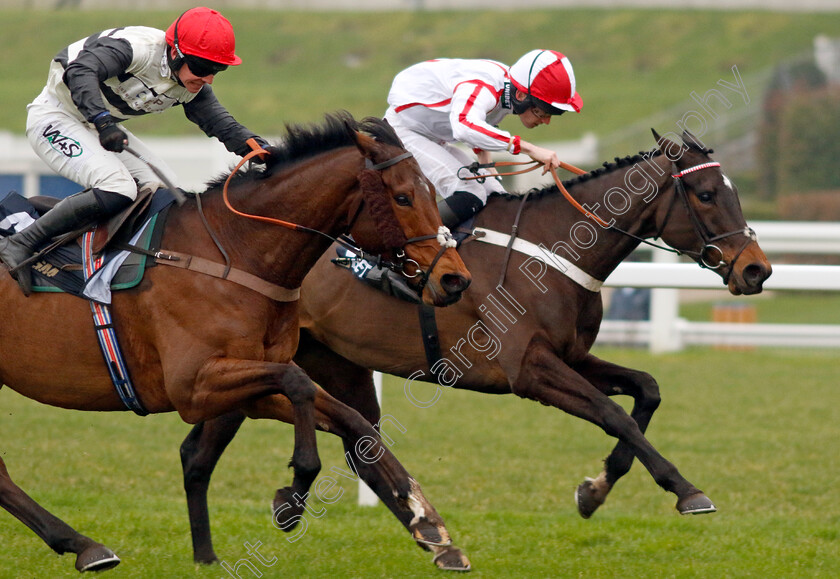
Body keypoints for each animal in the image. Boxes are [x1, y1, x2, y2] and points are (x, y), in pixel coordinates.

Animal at [0, 111, 472, 572]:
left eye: (433, 192)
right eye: (403, 198)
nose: (455, 279)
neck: (234, 254)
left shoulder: (247, 386)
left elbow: (350, 420)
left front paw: (426, 520)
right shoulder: (193, 386)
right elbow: (300, 386)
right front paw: (293, 495)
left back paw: (84, 545)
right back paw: (84, 545)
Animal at [179, 129, 776, 568]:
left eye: (734, 192)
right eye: (706, 195)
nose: (757, 270)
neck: (555, 249)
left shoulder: (570, 357)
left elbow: (646, 391)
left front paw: (595, 490)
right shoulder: (529, 370)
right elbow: (615, 414)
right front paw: (685, 490)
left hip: (328, 361)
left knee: (353, 443)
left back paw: (425, 538)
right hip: (258, 362)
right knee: (210, 451)